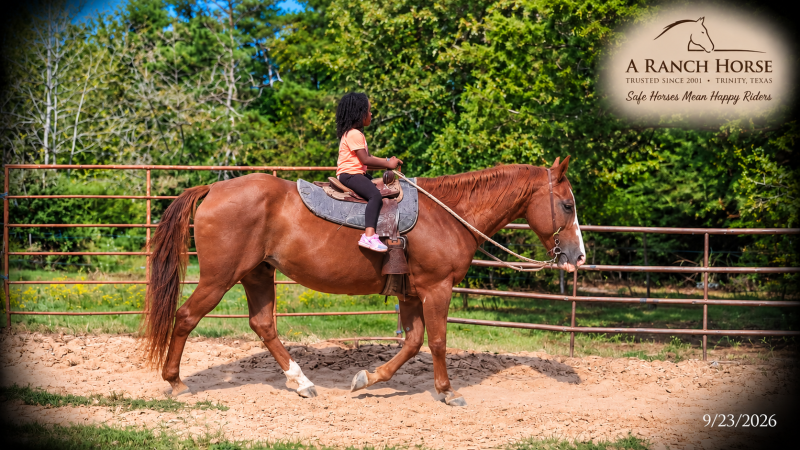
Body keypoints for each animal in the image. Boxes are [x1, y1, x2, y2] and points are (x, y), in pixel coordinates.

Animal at [141, 156, 586, 406]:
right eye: (566, 205)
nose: (578, 256)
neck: (449, 214)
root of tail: (213, 187)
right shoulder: (437, 288)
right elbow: (438, 342)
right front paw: (447, 391)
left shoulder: (411, 293)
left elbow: (413, 342)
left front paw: (367, 379)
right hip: (220, 278)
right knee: (185, 317)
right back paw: (175, 382)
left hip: (258, 274)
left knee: (263, 325)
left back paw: (302, 383)